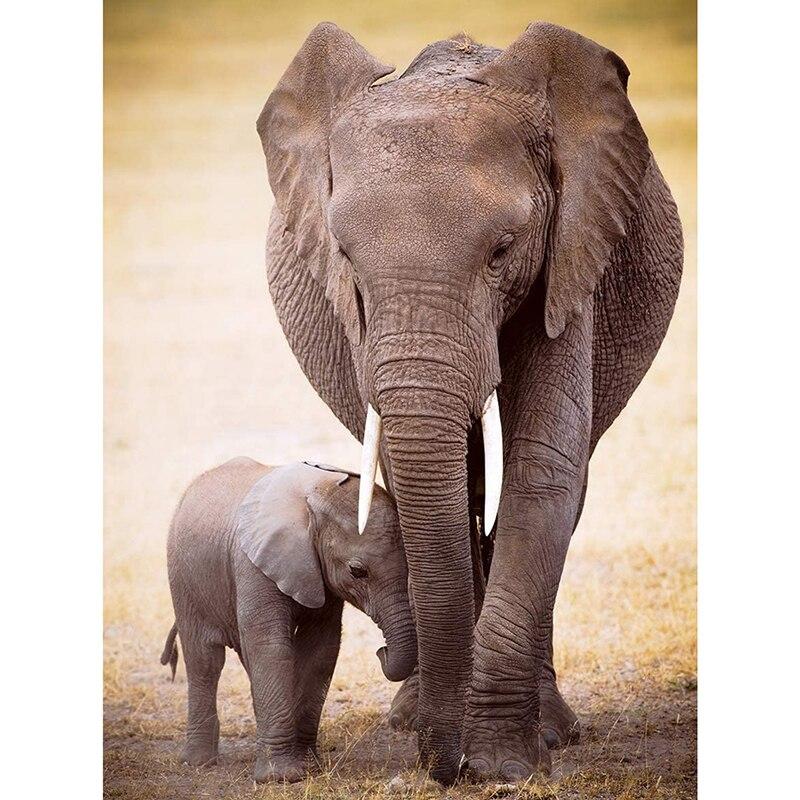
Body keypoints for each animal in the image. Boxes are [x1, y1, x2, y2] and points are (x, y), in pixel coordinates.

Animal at [162, 458, 417, 782]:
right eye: (357, 571)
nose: (381, 651)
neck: (316, 496)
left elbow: (320, 650)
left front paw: (309, 766)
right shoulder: (252, 564)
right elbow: (271, 646)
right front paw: (280, 778)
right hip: (183, 578)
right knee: (204, 659)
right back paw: (198, 762)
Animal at [256, 21, 683, 784]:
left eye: (503, 250)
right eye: (344, 257)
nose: (442, 766)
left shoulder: (571, 255)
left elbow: (543, 467)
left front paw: (503, 765)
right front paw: (454, 742)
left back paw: (551, 730)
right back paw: (413, 718)